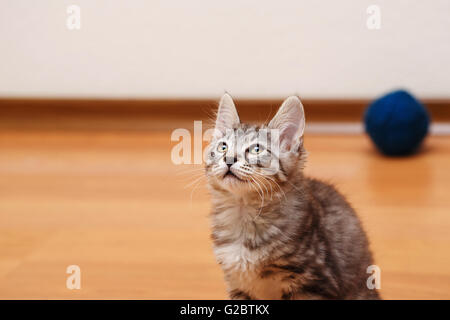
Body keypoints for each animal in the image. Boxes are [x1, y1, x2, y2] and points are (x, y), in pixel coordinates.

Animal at [207, 94, 380, 298]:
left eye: (257, 149)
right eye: (223, 147)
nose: (228, 159)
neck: (243, 212)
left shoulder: (313, 280)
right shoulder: (238, 284)